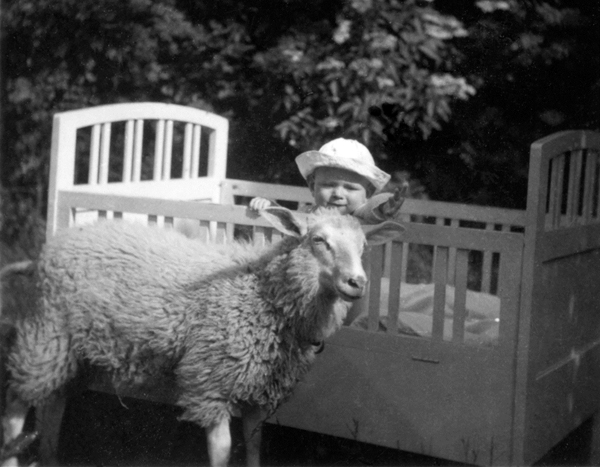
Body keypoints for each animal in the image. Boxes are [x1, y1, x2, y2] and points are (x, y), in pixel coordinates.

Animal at [1, 207, 404, 467]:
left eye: (364, 248)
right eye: (319, 240)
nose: (357, 282)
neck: (263, 293)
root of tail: (49, 247)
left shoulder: (259, 390)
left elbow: (254, 448)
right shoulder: (212, 382)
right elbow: (222, 450)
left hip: (76, 352)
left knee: (53, 402)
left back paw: (50, 456)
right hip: (47, 333)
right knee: (17, 404)